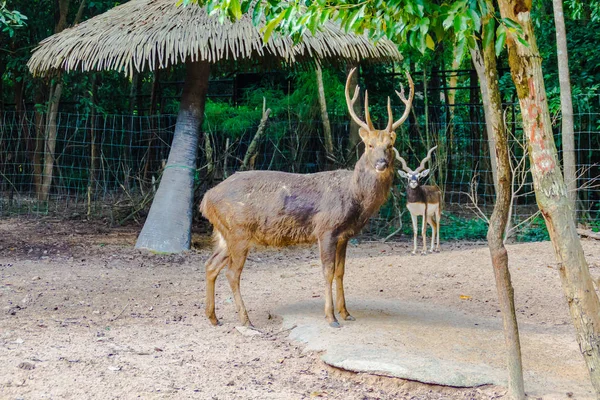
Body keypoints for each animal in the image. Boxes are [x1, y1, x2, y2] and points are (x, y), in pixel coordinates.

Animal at [199, 68, 414, 328]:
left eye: (390, 145)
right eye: (369, 145)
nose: (381, 164)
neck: (354, 197)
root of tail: (206, 199)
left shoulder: (344, 235)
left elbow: (341, 272)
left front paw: (346, 312)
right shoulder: (326, 229)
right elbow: (327, 271)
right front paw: (331, 317)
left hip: (224, 232)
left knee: (211, 265)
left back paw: (213, 317)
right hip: (238, 230)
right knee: (232, 272)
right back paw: (245, 319)